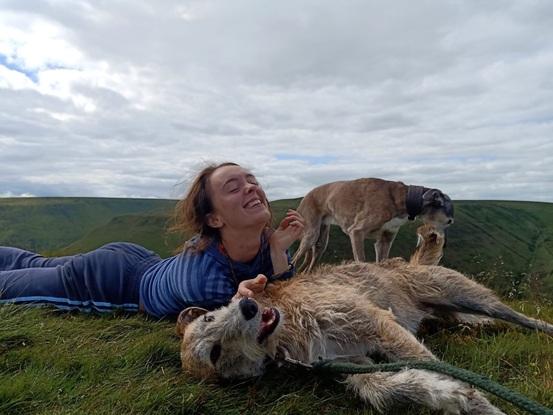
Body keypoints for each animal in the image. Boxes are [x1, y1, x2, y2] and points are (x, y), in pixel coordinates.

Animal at [175, 229, 548, 414]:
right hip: (449, 309)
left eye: (210, 315)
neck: (288, 335)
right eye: (215, 352)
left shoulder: (377, 323)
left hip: (463, 292)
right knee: (474, 321)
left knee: (516, 315)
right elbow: (379, 389)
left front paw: (481, 405)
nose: (249, 307)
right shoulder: (345, 361)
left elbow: (439, 368)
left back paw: (544, 328)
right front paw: (440, 393)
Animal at [294, 178, 452, 270]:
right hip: (311, 234)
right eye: (449, 222)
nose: (444, 245)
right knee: (295, 258)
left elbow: (381, 261)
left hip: (321, 240)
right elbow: (361, 260)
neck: (404, 197)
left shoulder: (385, 240)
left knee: (309, 264)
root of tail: (306, 196)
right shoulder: (356, 232)